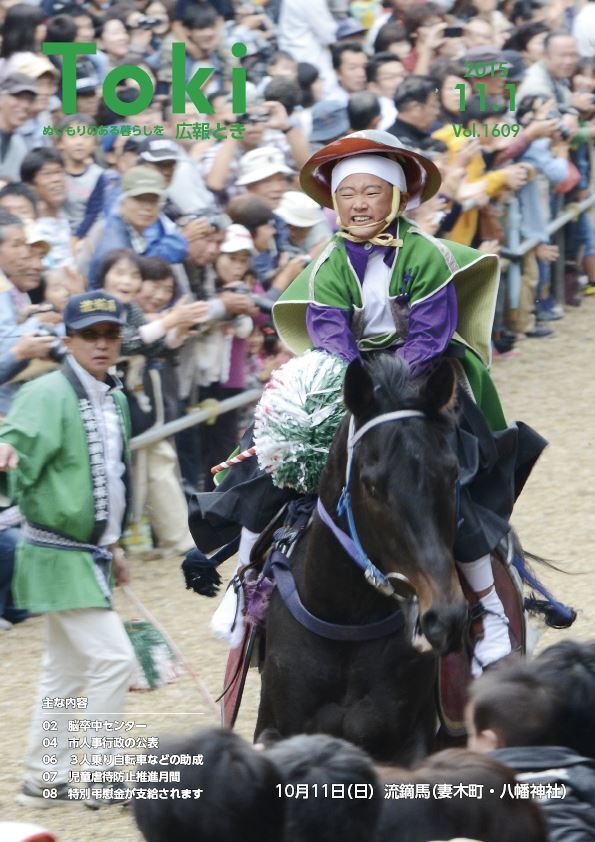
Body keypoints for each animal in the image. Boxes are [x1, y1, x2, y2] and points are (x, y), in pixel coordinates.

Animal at [254, 354, 472, 760]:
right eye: (371, 486)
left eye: (451, 473)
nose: (446, 617)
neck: (346, 627)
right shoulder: (276, 722)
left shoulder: (411, 738)